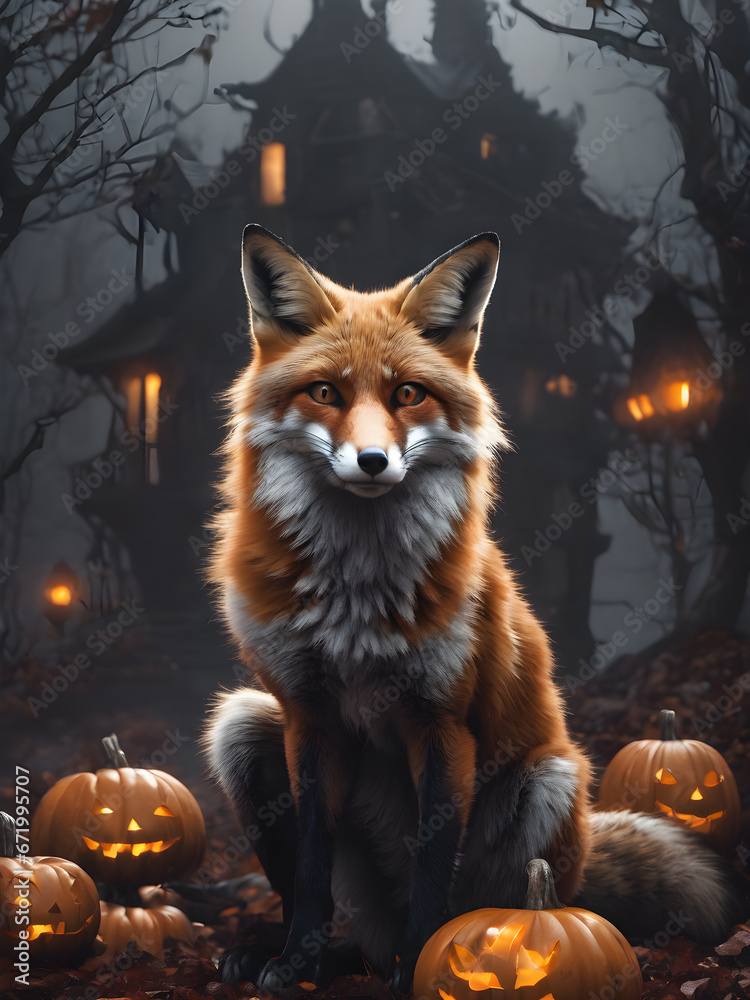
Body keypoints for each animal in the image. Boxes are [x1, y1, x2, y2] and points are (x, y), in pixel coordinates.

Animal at [204, 224, 739, 991]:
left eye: (407, 393)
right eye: (325, 392)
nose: (372, 461)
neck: (355, 596)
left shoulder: (443, 722)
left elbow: (435, 872)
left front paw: (419, 969)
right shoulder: (307, 717)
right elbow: (308, 871)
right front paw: (294, 962)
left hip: (550, 783)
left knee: (503, 906)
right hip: (244, 727)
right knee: (349, 927)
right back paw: (306, 956)